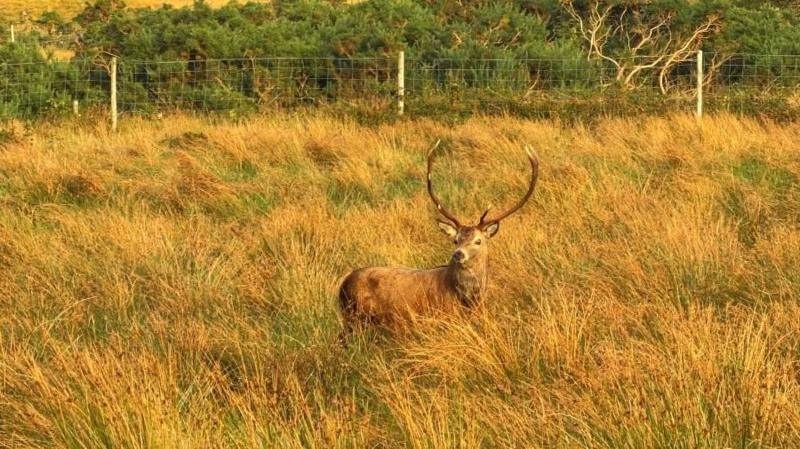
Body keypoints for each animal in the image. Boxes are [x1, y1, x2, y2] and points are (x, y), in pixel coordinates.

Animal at [338, 140, 539, 340]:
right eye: (455, 240)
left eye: (478, 241)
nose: (458, 254)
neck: (470, 300)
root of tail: (342, 283)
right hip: (354, 317)